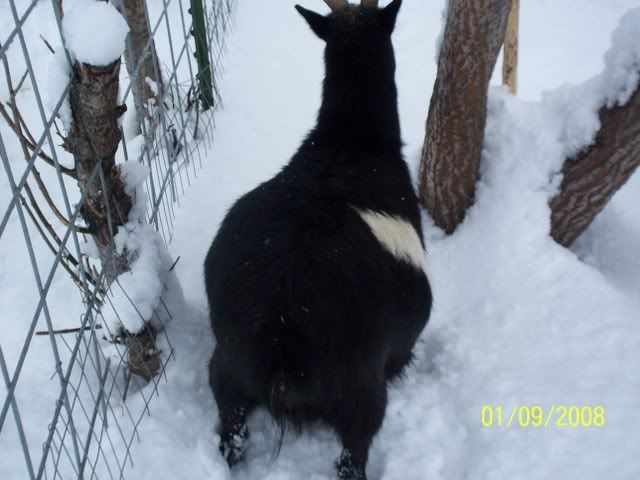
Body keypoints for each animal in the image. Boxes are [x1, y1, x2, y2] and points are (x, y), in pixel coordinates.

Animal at [204, 1, 432, 478]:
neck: (351, 143)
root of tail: (282, 329)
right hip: (362, 392)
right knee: (353, 454)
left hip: (227, 369)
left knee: (231, 434)